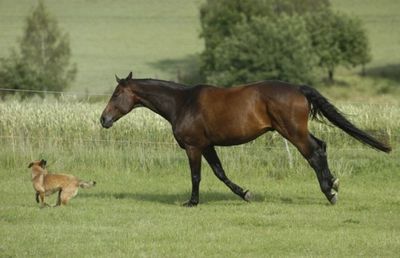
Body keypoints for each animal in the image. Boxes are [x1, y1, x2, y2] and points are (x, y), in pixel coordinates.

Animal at [100, 72, 390, 208]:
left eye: (116, 94)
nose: (103, 119)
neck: (183, 103)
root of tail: (298, 89)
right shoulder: (207, 145)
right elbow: (220, 173)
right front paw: (246, 193)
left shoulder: (193, 146)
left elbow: (196, 176)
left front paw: (192, 202)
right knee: (322, 147)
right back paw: (333, 185)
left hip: (293, 132)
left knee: (315, 153)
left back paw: (330, 192)